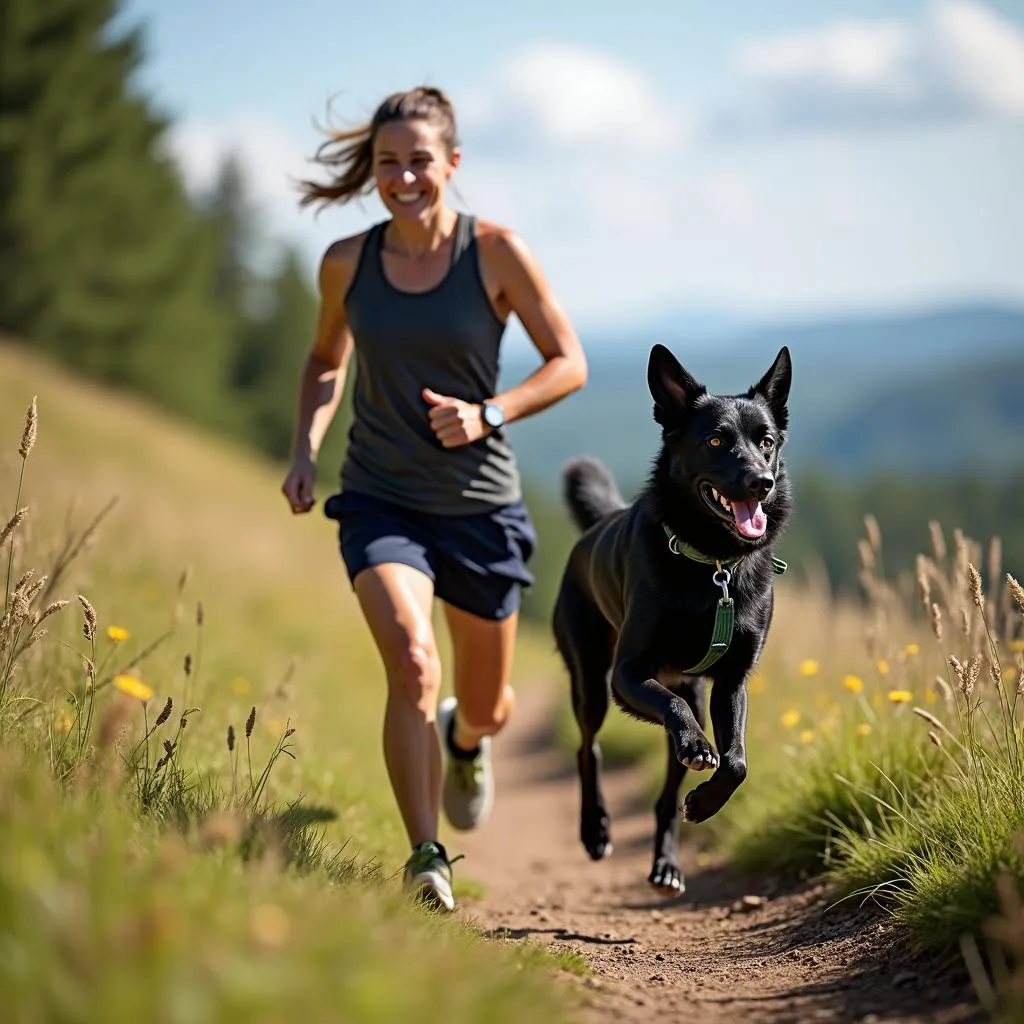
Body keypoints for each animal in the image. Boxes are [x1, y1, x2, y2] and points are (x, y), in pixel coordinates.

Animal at [552, 339, 790, 892]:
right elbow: (677, 716)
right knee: (588, 748)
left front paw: (704, 803)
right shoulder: (628, 675)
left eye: (766, 441)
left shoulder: (730, 683)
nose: (762, 483)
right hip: (592, 683)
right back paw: (595, 830)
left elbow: (737, 762)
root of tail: (598, 524)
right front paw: (699, 751)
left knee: (663, 796)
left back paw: (666, 865)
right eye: (717, 441)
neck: (713, 566)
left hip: (690, 693)